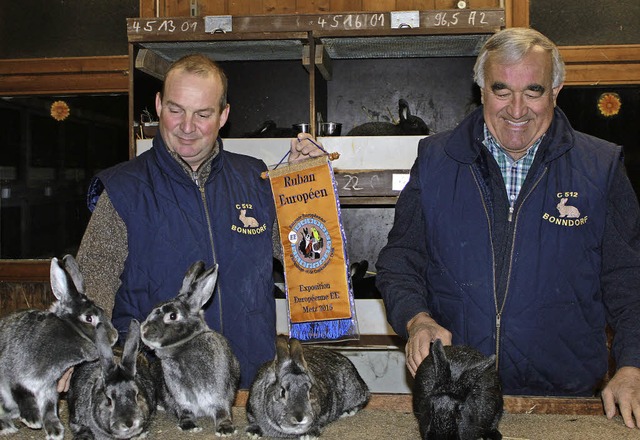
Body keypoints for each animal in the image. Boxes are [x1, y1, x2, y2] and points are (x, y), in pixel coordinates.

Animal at [0, 254, 117, 440]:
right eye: (89, 318)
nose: (114, 336)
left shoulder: (49, 388)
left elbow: (50, 409)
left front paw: (55, 431)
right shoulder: (12, 374)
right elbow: (21, 392)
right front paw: (33, 420)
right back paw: (7, 427)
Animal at [140, 262, 240, 436]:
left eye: (172, 316)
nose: (143, 330)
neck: (183, 347)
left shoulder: (220, 395)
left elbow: (222, 411)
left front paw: (226, 429)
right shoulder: (182, 399)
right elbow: (185, 412)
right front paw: (189, 426)